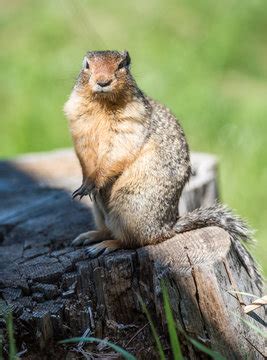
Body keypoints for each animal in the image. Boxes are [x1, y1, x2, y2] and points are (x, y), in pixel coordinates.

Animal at [64, 50, 262, 282]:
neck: (102, 105)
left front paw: (94, 181)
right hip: (100, 211)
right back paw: (90, 236)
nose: (103, 81)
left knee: (134, 241)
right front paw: (85, 183)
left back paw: (105, 245)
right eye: (87, 65)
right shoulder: (80, 129)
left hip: (129, 207)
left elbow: (115, 156)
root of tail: (168, 226)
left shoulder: (129, 129)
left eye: (123, 65)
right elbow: (84, 158)